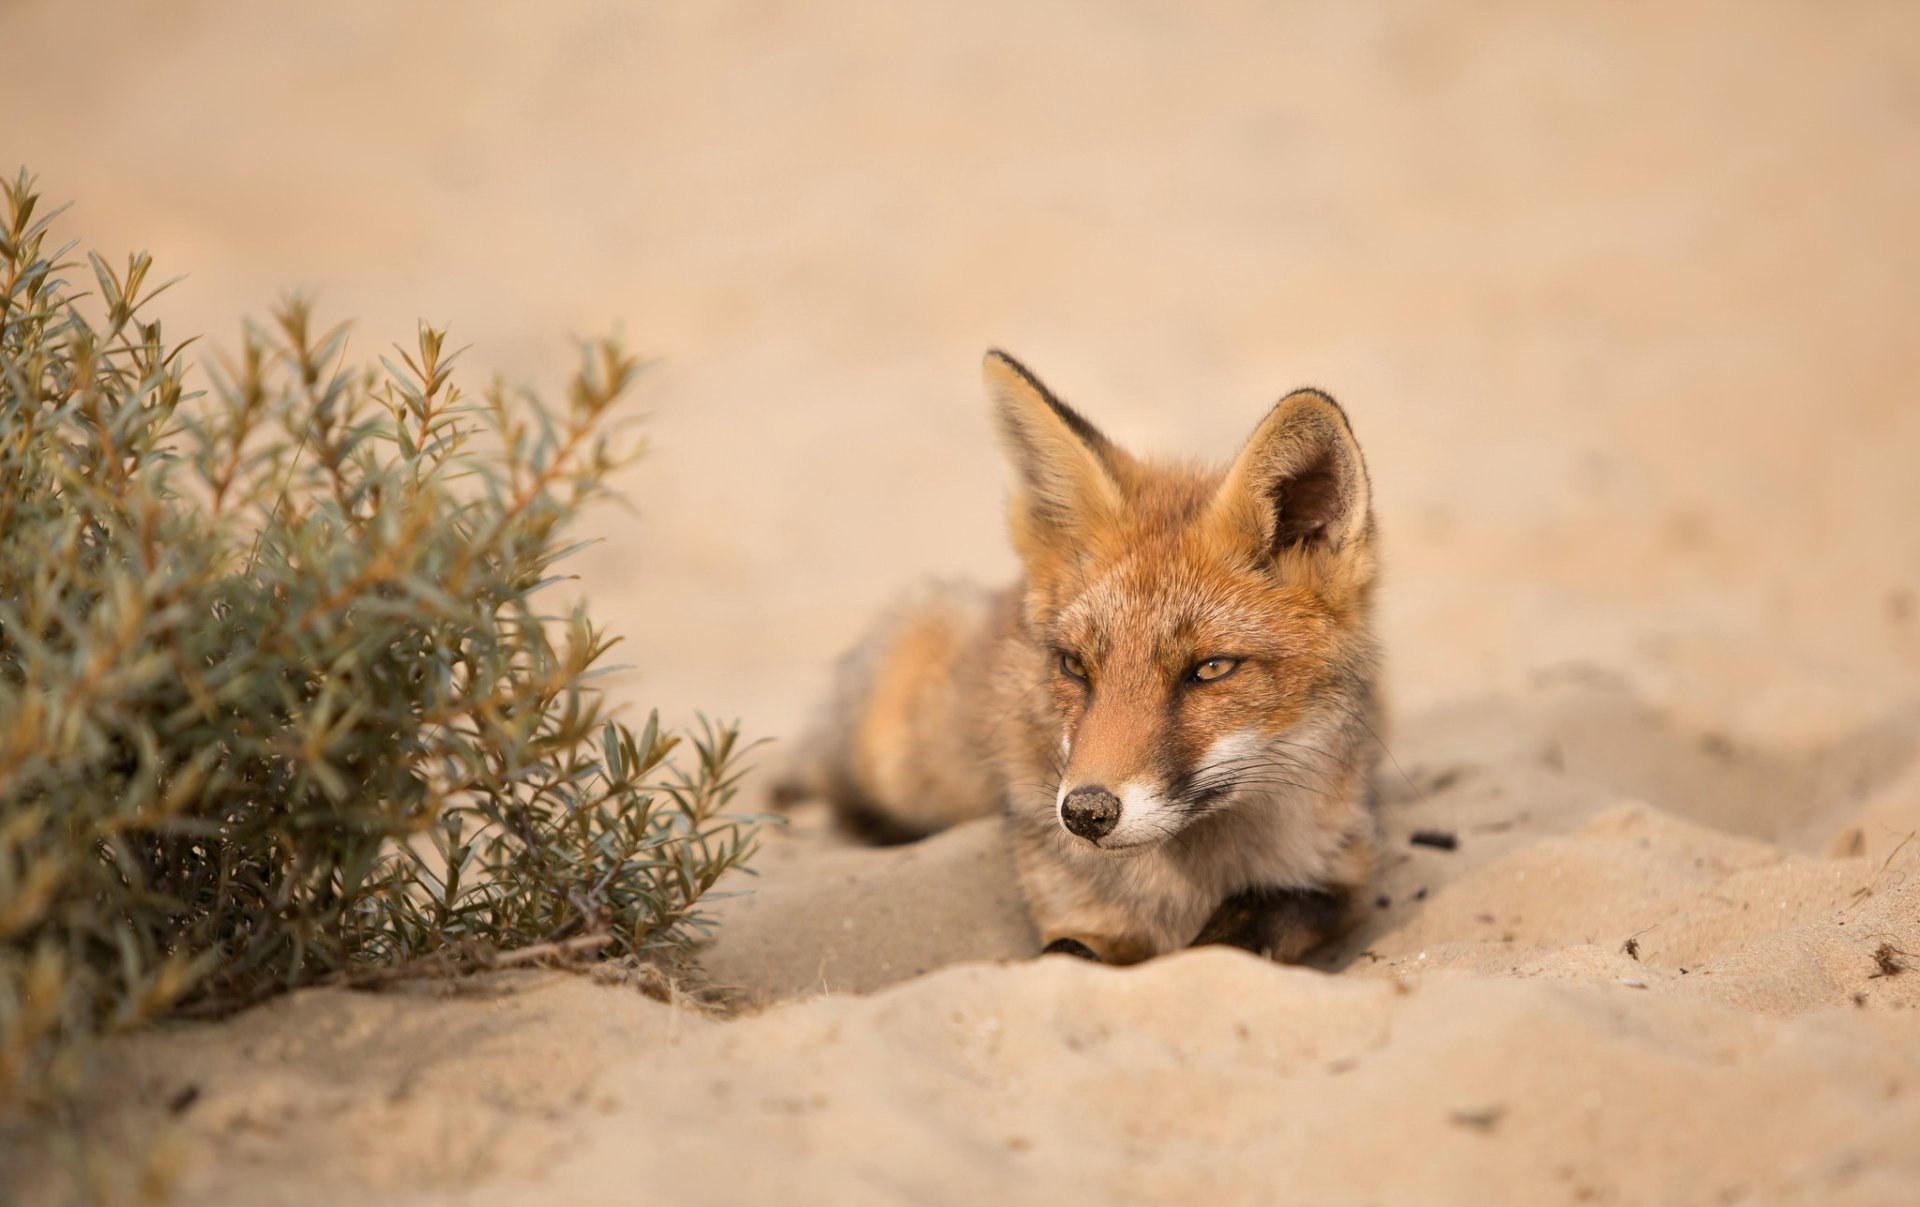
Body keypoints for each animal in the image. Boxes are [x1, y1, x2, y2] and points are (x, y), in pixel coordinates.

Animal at [779, 351, 1382, 965]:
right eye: (1073, 665)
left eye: (1211, 669)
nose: (1086, 813)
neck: (1184, 885)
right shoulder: (1076, 916)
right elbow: (1066, 956)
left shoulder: (1344, 877)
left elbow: (1249, 925)